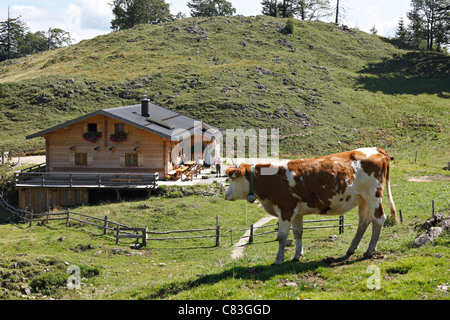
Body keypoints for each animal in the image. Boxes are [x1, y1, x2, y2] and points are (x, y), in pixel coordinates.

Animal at [225, 147, 398, 264]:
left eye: (232, 178)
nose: (226, 195)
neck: (272, 178)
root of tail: (376, 149)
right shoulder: (296, 212)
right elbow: (298, 233)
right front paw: (297, 255)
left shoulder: (285, 210)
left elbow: (282, 237)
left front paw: (278, 260)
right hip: (363, 199)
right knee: (364, 221)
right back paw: (351, 249)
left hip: (373, 195)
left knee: (379, 219)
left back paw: (369, 251)